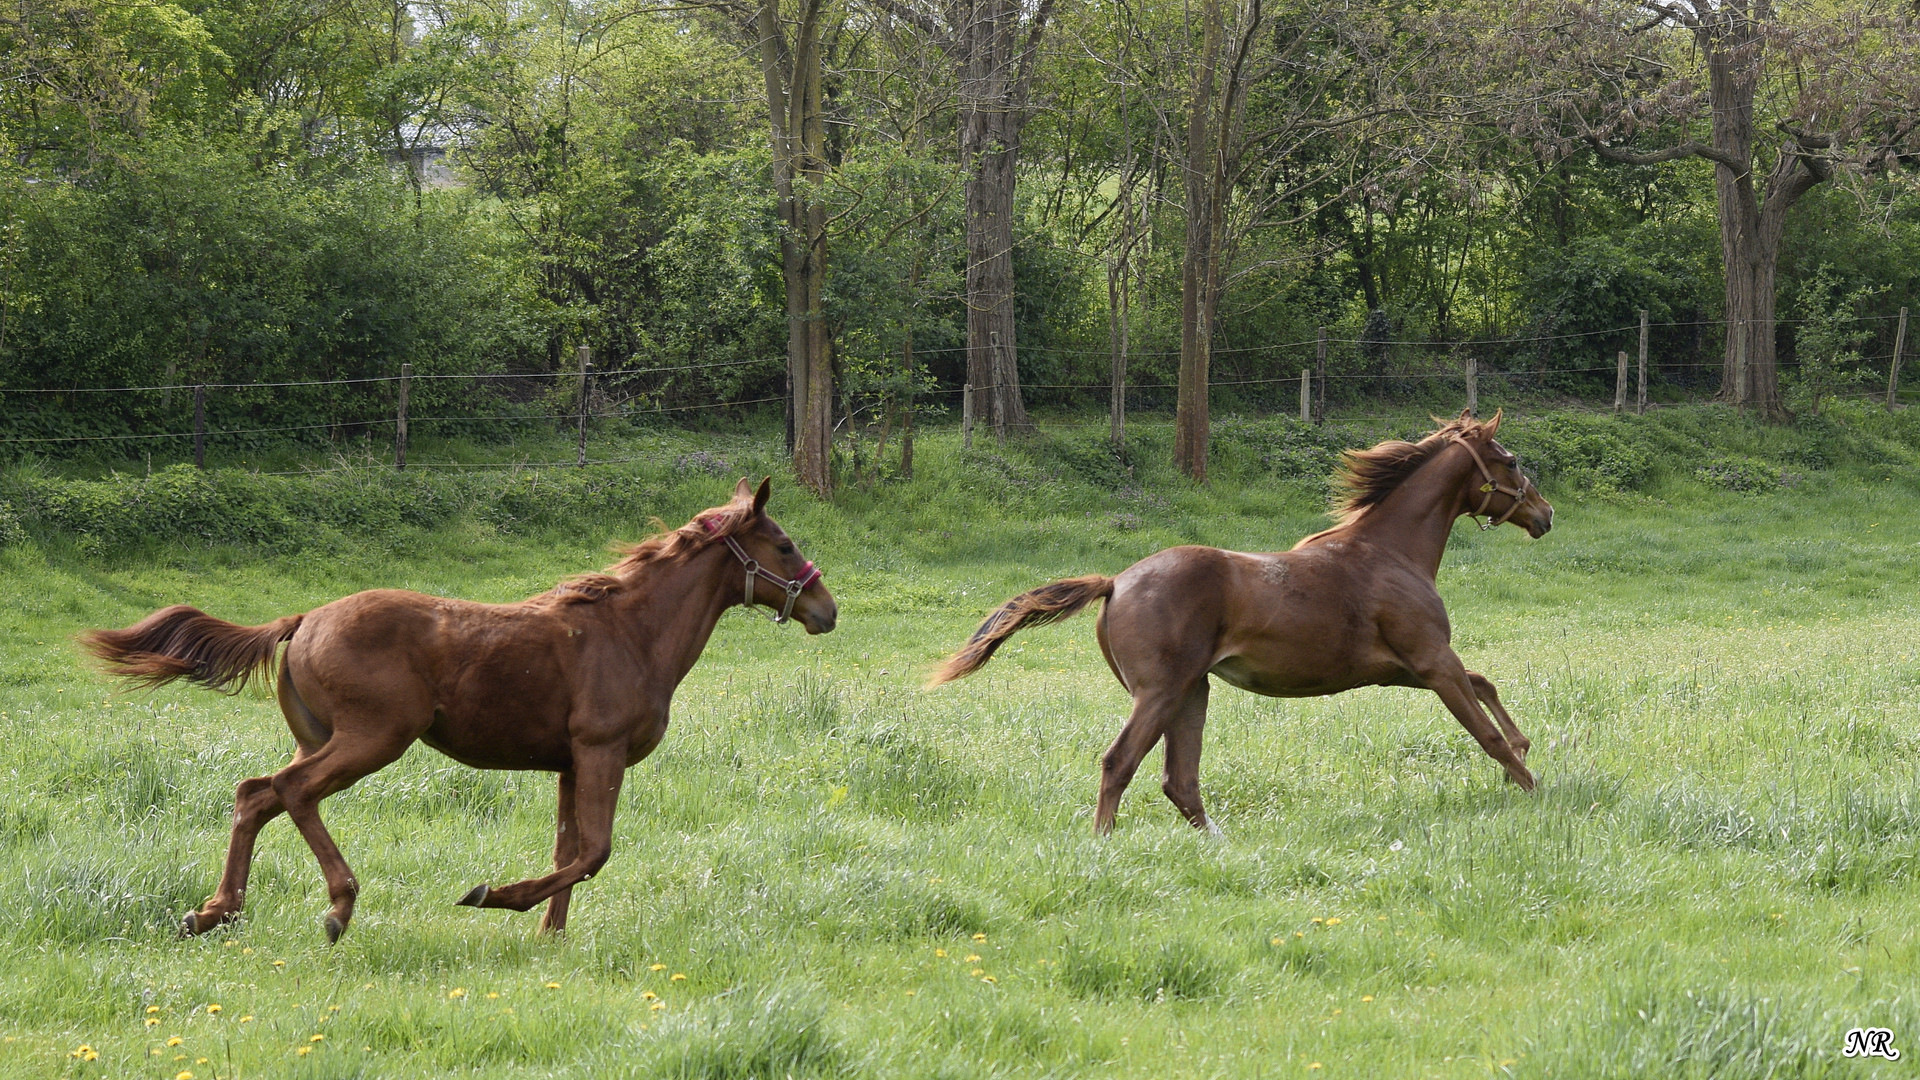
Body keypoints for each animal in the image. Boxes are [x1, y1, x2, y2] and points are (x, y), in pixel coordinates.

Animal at [82, 474, 833, 937]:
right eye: (784, 544)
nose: (826, 609)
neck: (631, 633)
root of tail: (302, 622)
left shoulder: (570, 764)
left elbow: (570, 849)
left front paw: (551, 937)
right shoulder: (601, 750)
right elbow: (594, 851)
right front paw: (495, 897)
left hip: (319, 735)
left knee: (254, 794)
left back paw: (214, 912)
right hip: (373, 737)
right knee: (291, 792)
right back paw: (336, 907)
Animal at [936, 411, 1551, 834]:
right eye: (1513, 461)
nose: (1545, 515)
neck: (1389, 553)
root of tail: (1115, 581)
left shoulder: (1404, 669)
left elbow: (1486, 687)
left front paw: (1524, 753)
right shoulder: (1431, 661)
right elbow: (1485, 732)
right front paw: (1537, 791)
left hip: (1192, 691)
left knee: (1179, 781)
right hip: (1160, 693)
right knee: (1120, 763)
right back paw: (1102, 846)